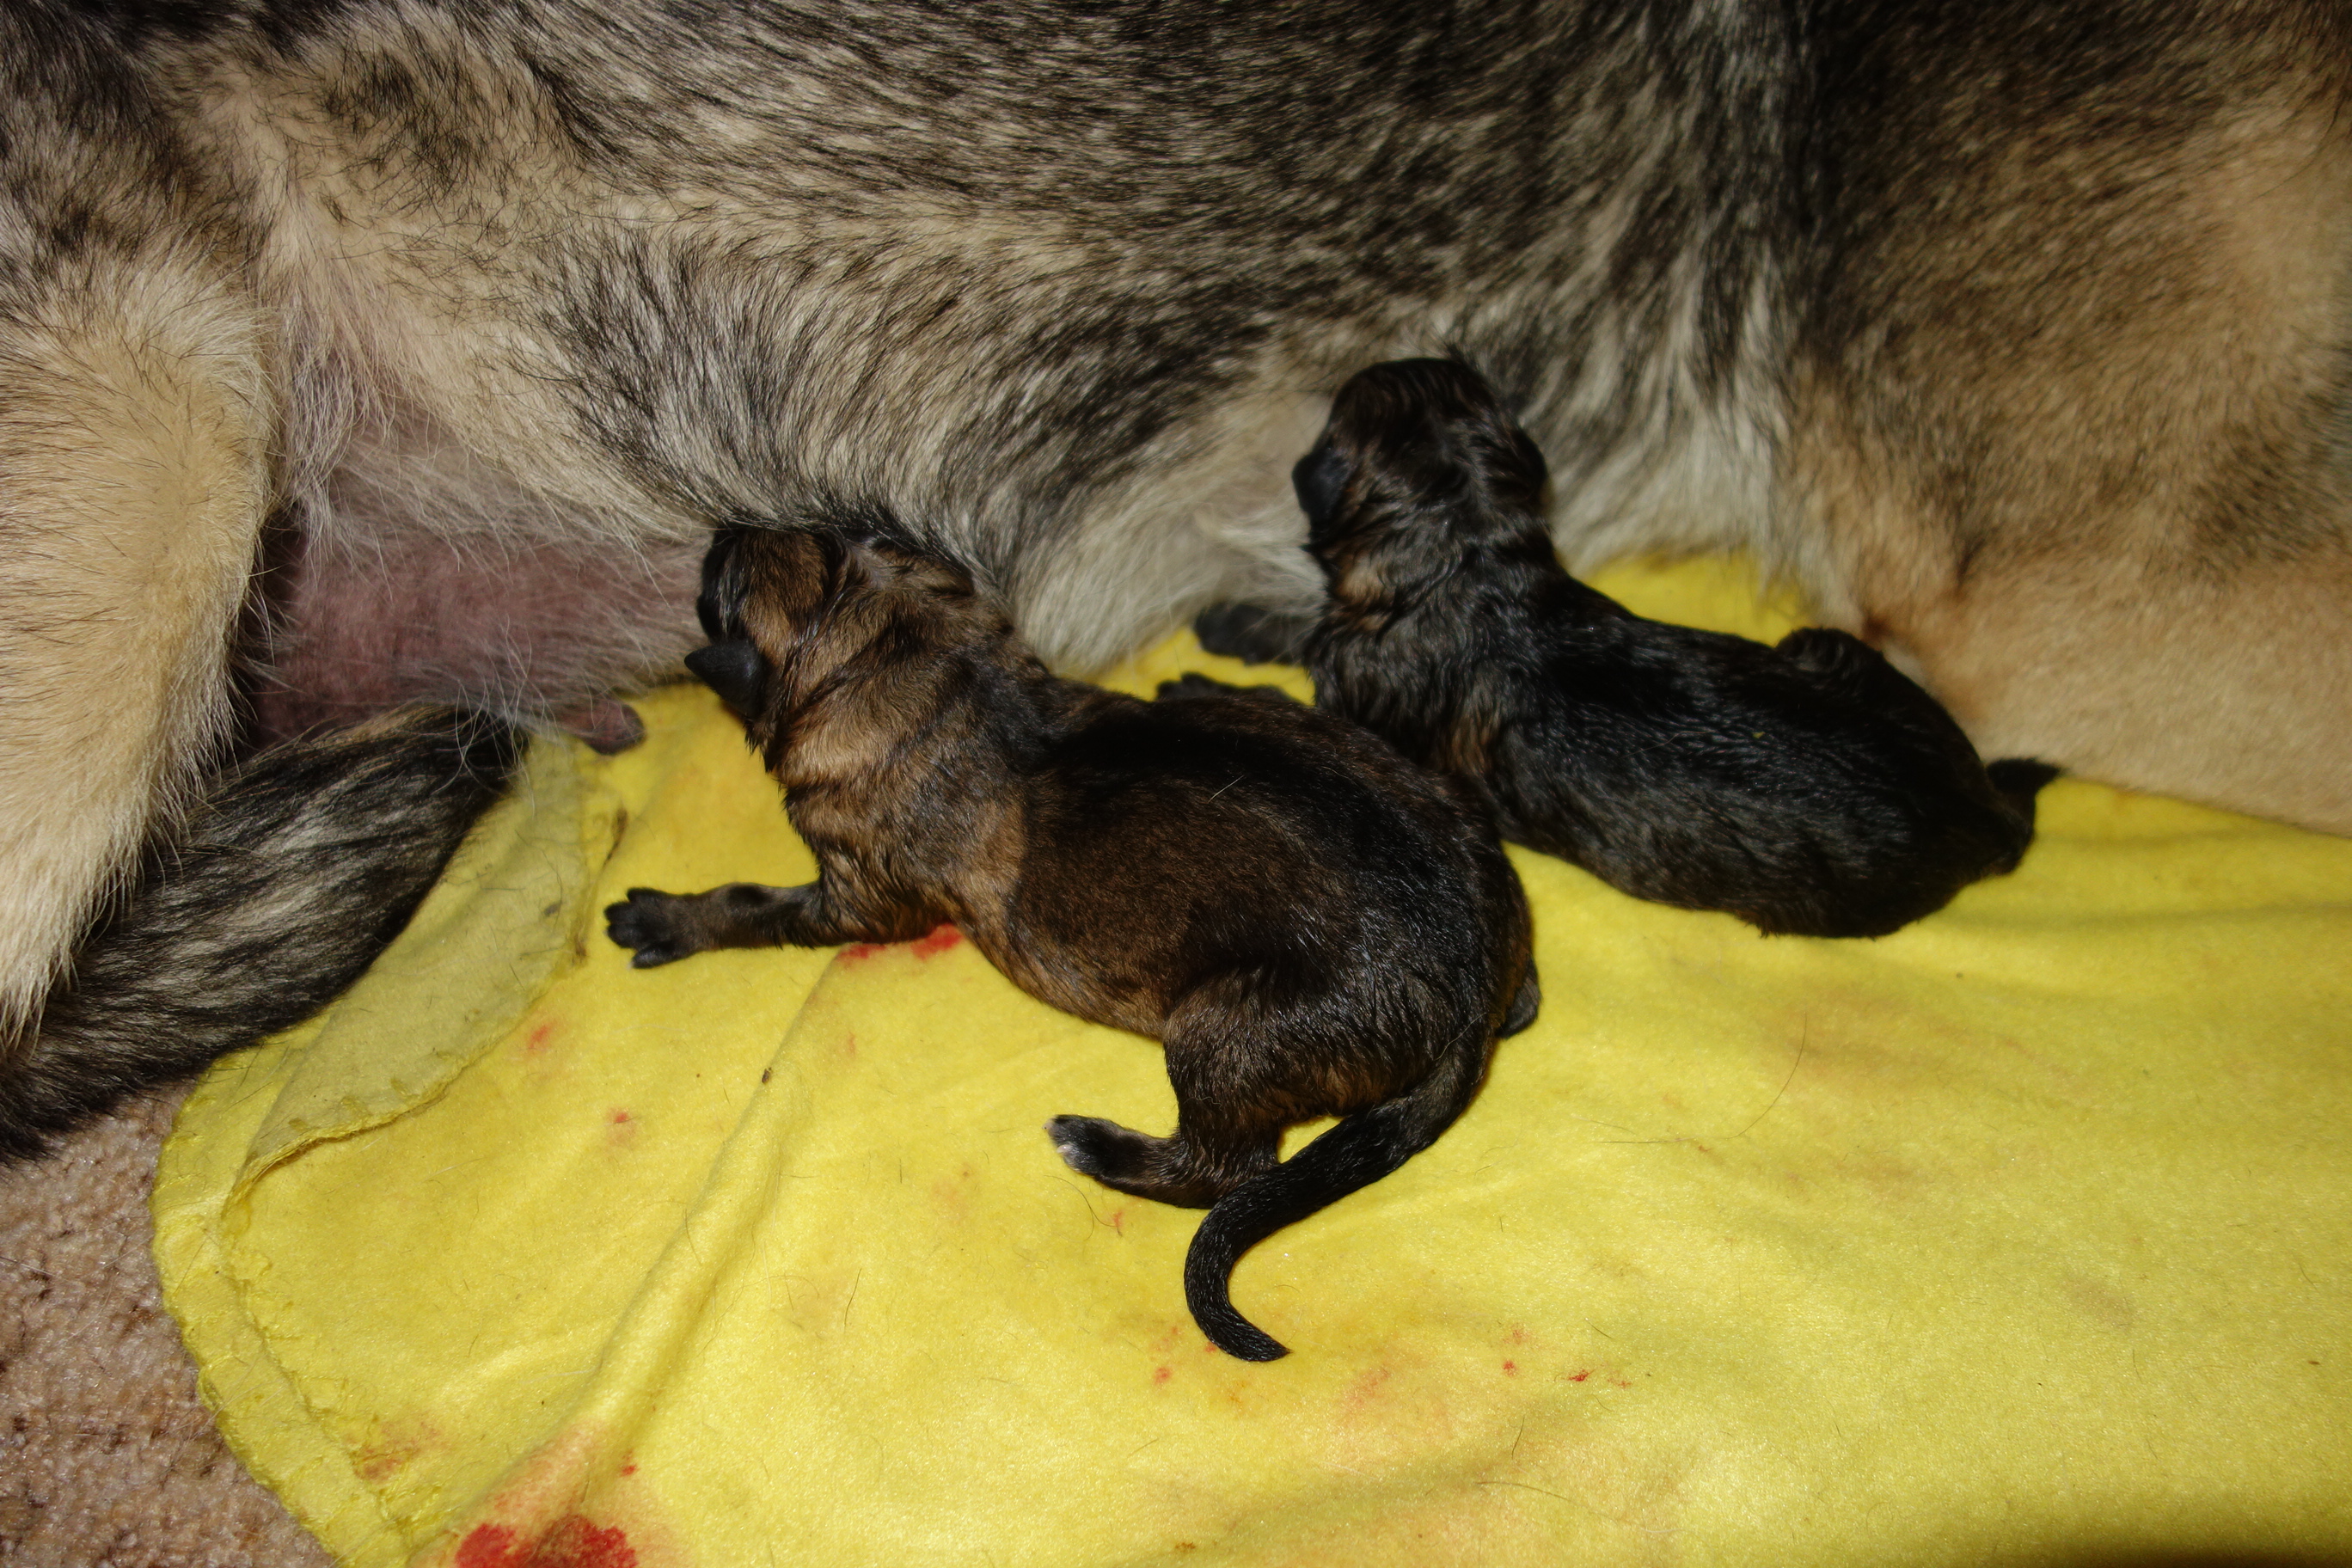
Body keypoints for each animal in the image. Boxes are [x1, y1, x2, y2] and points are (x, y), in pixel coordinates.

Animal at [603, 519, 1538, 1360]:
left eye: (718, 590)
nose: (721, 528)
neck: (935, 669)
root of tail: (1473, 1000)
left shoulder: (859, 898)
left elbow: (752, 902)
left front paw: (667, 917)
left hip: (1223, 1032)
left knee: (1220, 1169)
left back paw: (1097, 1146)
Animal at [1197, 358, 2052, 938]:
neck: (1467, 559)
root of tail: (1984, 811)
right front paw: (1234, 622)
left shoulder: (1359, 702)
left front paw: (1203, 673)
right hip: (1829, 647)